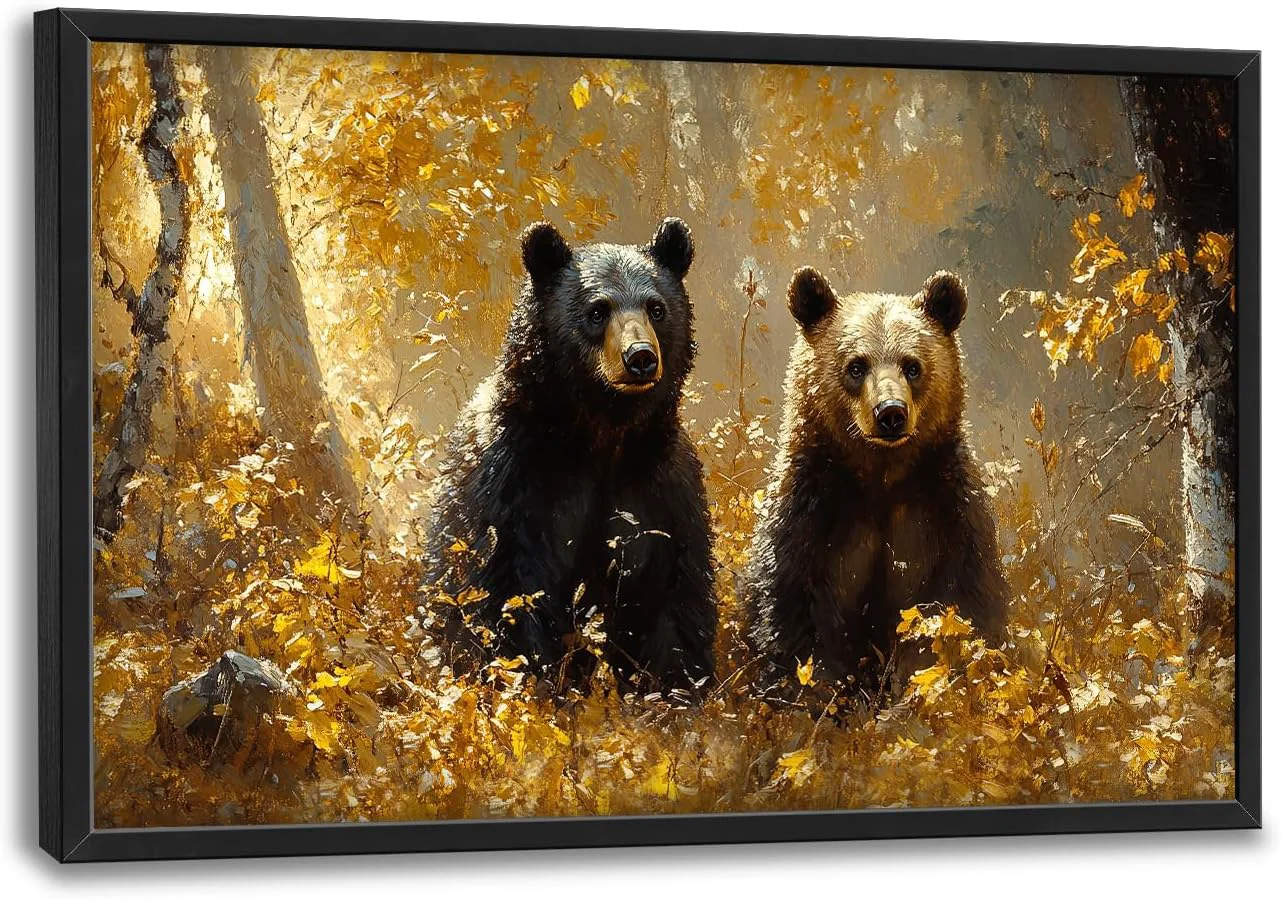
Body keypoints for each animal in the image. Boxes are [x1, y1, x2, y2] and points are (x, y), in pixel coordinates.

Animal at [422, 218, 716, 699]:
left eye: (656, 308)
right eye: (598, 311)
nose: (640, 358)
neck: (600, 433)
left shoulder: (660, 488)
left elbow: (671, 593)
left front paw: (673, 688)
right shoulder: (515, 482)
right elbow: (507, 590)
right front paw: (532, 681)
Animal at [744, 267, 1008, 701]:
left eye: (912, 365)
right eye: (856, 365)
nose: (891, 413)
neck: (882, 478)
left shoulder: (947, 513)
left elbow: (961, 609)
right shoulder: (811, 514)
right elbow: (791, 614)